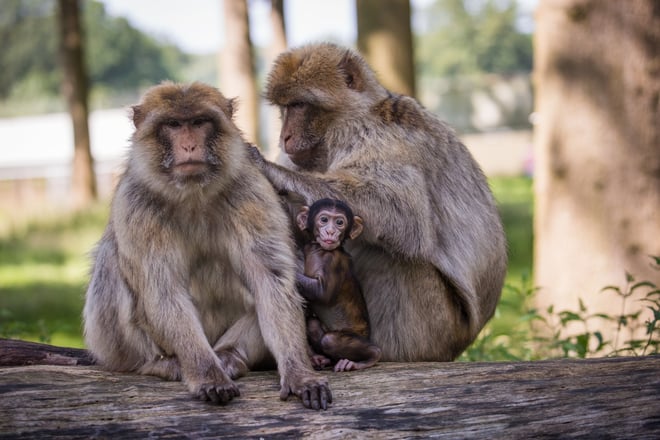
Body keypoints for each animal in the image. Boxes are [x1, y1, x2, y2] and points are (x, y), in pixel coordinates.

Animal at [83, 81, 331, 410]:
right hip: (111, 348)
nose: (189, 146)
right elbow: (163, 290)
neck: (193, 194)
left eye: (199, 122)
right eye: (174, 125)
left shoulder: (250, 192)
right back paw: (159, 363)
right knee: (111, 261)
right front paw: (208, 376)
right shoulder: (136, 204)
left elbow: (271, 282)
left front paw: (299, 374)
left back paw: (230, 356)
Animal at [296, 198, 381, 372]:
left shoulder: (332, 261)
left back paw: (366, 358)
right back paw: (324, 360)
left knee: (330, 340)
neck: (318, 248)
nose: (330, 231)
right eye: (324, 220)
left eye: (339, 222)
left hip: (358, 337)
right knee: (312, 325)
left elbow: (322, 292)